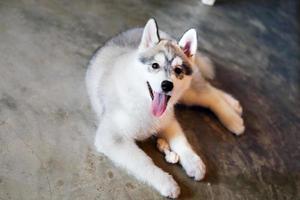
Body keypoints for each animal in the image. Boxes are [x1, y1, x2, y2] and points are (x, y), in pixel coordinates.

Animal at [85, 19, 244, 198]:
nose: (167, 85)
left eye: (178, 70)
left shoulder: (168, 120)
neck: (144, 100)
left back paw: (233, 119)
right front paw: (165, 181)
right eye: (155, 65)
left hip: (188, 92)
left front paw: (193, 162)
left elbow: (182, 142)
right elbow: (143, 161)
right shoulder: (113, 138)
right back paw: (234, 106)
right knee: (210, 90)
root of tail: (167, 34)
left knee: (209, 95)